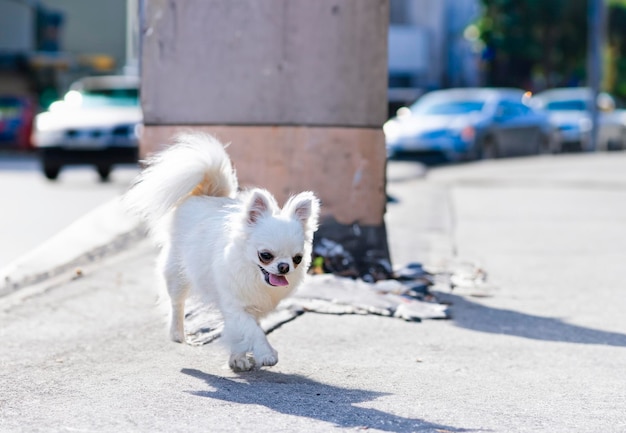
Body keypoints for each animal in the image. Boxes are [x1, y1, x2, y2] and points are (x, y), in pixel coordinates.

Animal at [123, 133, 316, 370]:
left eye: (297, 259)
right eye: (265, 255)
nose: (284, 267)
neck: (253, 276)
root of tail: (206, 193)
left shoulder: (248, 308)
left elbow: (242, 332)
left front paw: (238, 358)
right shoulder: (235, 305)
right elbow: (253, 331)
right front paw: (266, 354)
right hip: (178, 273)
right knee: (177, 303)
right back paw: (177, 333)